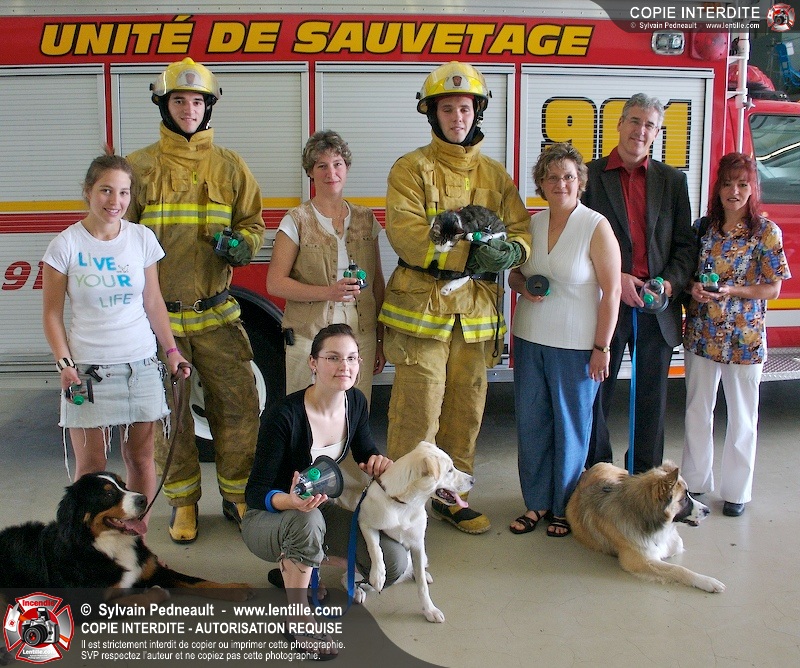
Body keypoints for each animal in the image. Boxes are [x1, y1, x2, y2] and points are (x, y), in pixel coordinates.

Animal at [0, 472, 253, 603]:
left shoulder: (155, 570)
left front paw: (236, 588)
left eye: (124, 484)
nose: (143, 498)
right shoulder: (88, 603)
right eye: (108, 494)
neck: (112, 545)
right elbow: (129, 601)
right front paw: (155, 593)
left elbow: (196, 580)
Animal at [356, 441, 474, 622]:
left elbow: (422, 587)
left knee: (419, 570)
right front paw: (378, 575)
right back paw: (357, 591)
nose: (473, 480)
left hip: (422, 556)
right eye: (449, 470)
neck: (404, 504)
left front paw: (429, 610)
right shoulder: (364, 523)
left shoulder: (418, 545)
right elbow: (375, 548)